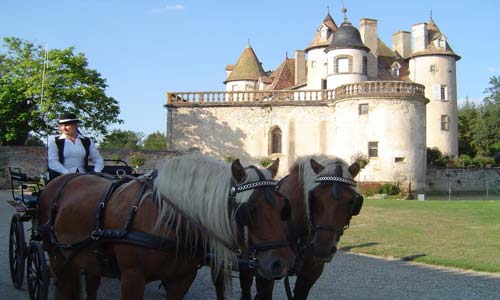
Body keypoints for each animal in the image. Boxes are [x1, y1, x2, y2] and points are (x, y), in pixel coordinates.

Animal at [40, 154, 296, 298]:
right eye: (248, 210)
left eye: (283, 207)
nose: (281, 264)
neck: (166, 220)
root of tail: (63, 178)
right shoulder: (132, 278)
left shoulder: (181, 280)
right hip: (56, 257)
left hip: (87, 259)